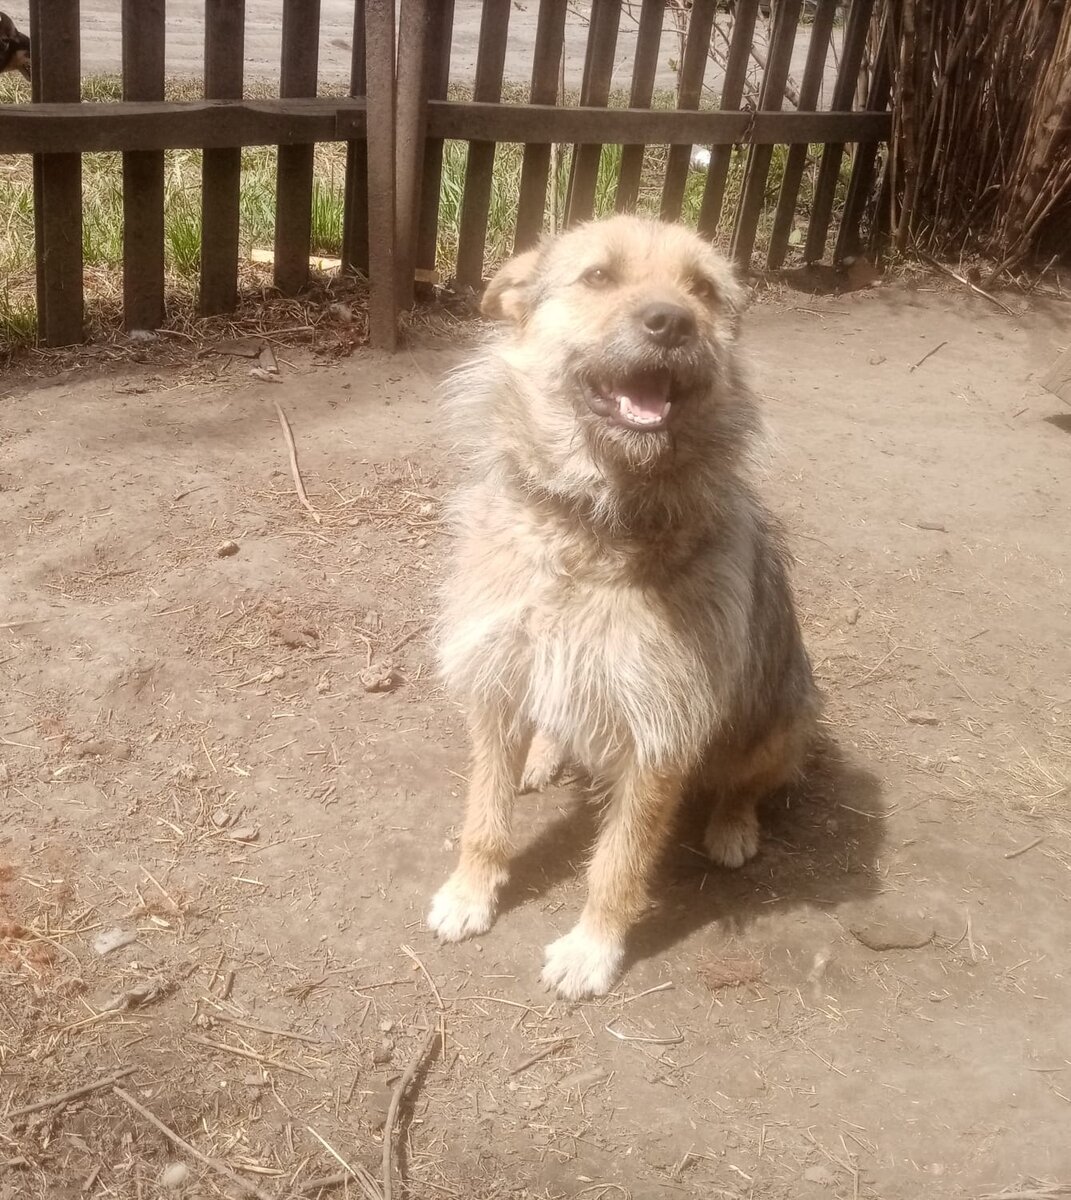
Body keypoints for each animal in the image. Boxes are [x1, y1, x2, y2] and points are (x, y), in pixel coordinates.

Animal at [427, 211, 821, 998]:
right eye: (599, 276)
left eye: (703, 290)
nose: (672, 322)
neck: (591, 524)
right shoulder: (497, 678)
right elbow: (484, 815)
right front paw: (469, 891)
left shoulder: (659, 730)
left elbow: (619, 863)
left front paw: (591, 949)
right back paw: (543, 754)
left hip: (780, 717)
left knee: (749, 783)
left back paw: (733, 827)